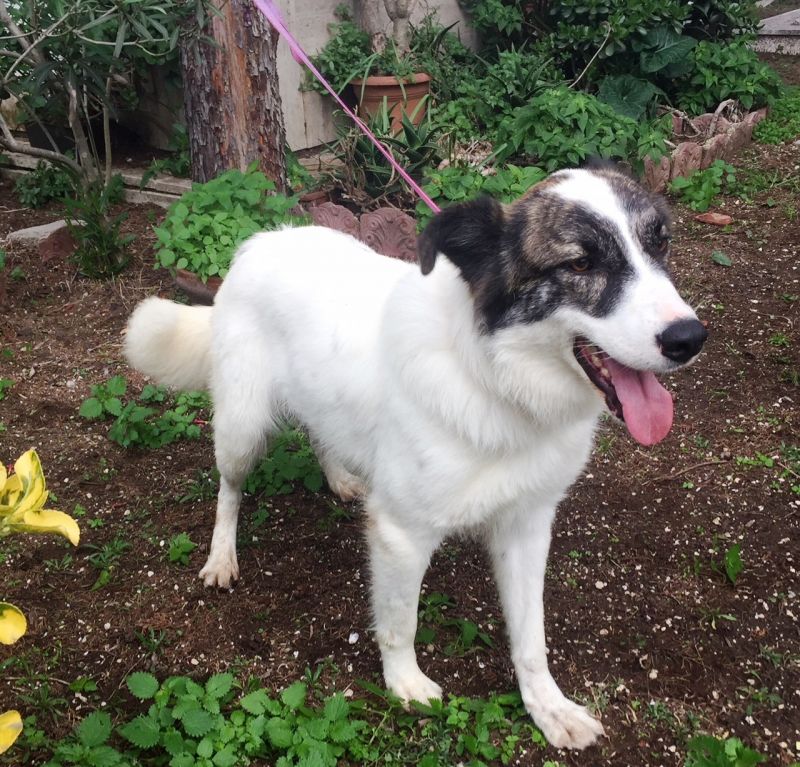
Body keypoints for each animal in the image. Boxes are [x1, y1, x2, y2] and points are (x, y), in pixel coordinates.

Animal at [125, 166, 708, 752]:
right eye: (581, 263)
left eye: (660, 243)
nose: (690, 338)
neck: (496, 381)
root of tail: (260, 242)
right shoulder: (401, 534)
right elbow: (400, 621)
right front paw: (404, 683)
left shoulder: (527, 526)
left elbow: (531, 635)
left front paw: (548, 706)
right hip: (242, 428)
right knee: (229, 488)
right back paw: (222, 556)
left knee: (320, 432)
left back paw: (340, 476)